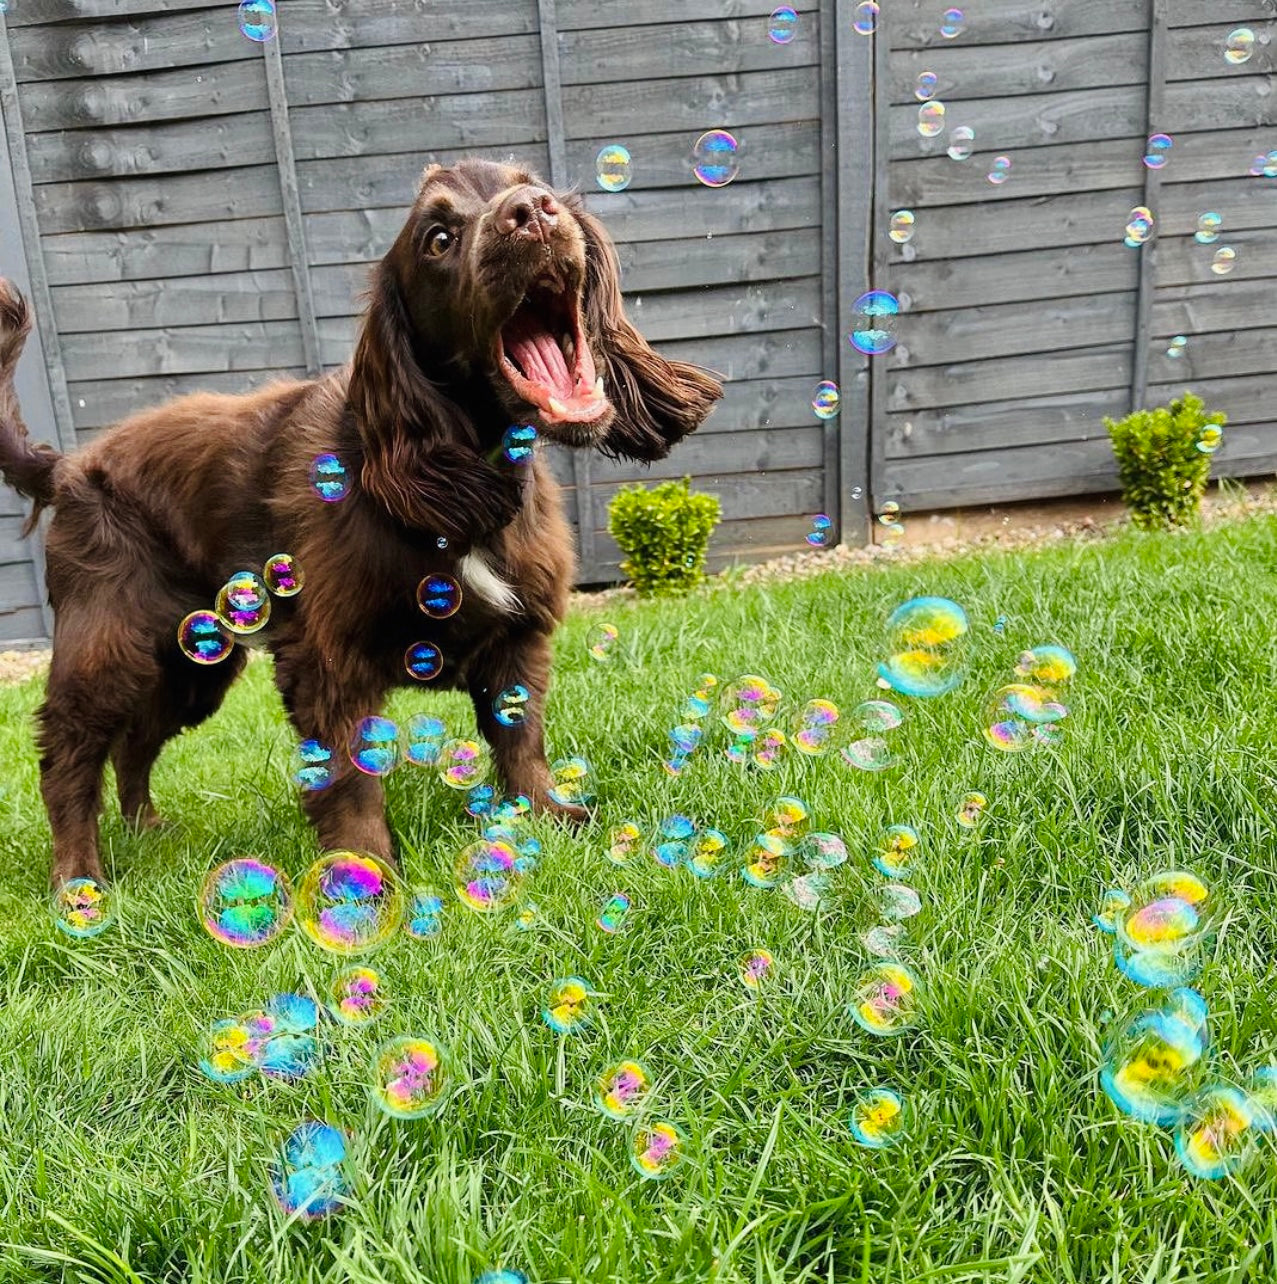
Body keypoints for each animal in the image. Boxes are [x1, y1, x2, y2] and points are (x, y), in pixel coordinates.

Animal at [0, 157, 718, 883]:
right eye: (437, 238)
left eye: (532, 183)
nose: (533, 213)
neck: (463, 475)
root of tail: (67, 467)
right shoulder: (328, 660)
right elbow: (348, 777)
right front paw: (361, 874)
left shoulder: (517, 641)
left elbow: (522, 738)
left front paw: (545, 815)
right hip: (110, 644)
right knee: (68, 757)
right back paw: (78, 880)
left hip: (192, 661)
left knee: (136, 743)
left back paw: (149, 832)